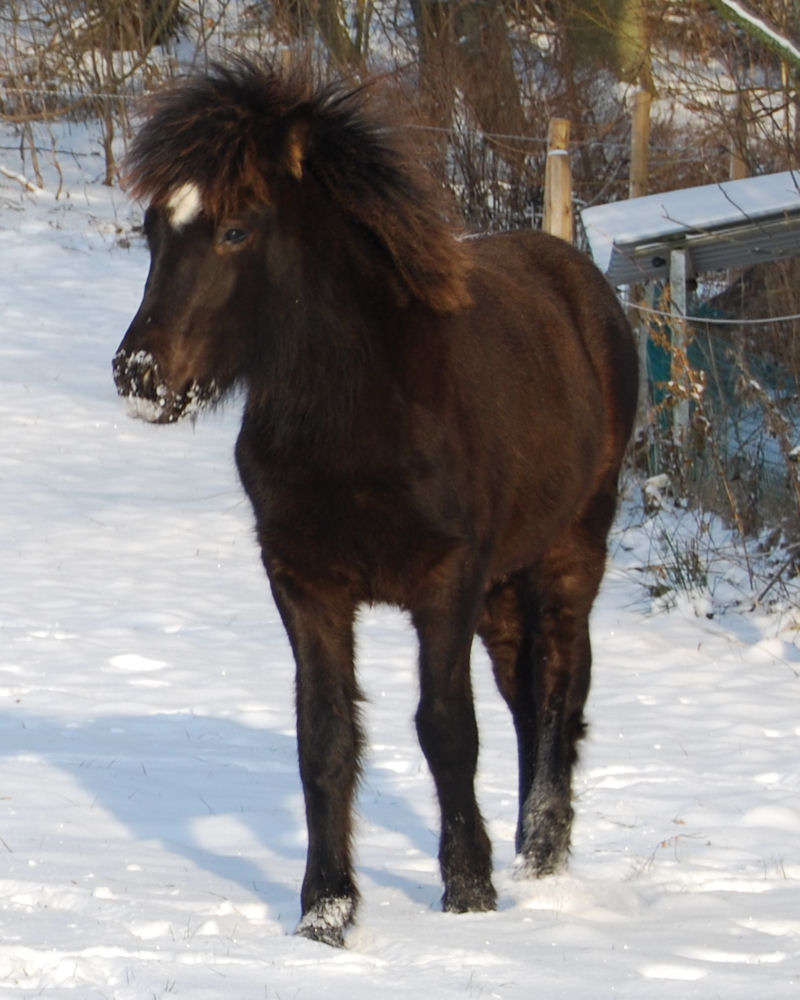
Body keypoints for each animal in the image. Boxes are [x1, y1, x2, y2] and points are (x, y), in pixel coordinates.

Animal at [112, 62, 636, 944]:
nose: (140, 377)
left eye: (235, 231)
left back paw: (541, 856)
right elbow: (324, 737)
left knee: (561, 689)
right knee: (526, 697)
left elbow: (446, 730)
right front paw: (325, 910)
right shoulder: (307, 583)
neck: (362, 416)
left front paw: (469, 891)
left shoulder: (446, 582)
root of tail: (578, 278)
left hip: (569, 553)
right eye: (154, 230)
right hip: (503, 591)